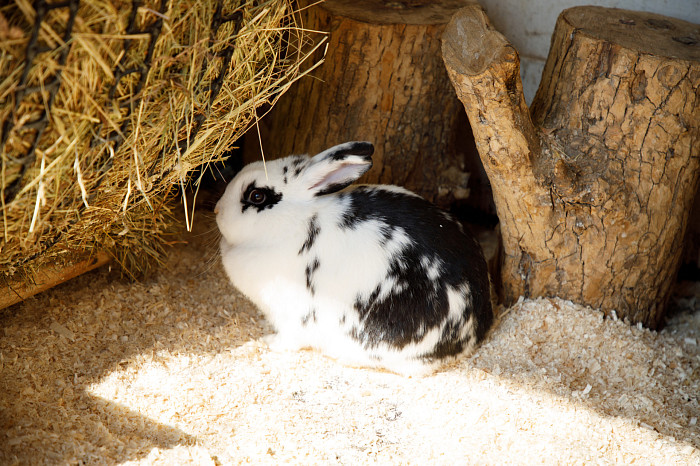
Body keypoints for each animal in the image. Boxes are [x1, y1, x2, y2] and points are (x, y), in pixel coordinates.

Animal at [216, 142, 494, 374]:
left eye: (257, 196)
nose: (217, 210)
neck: (297, 222)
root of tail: (478, 326)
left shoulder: (291, 315)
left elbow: (288, 339)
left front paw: (268, 342)